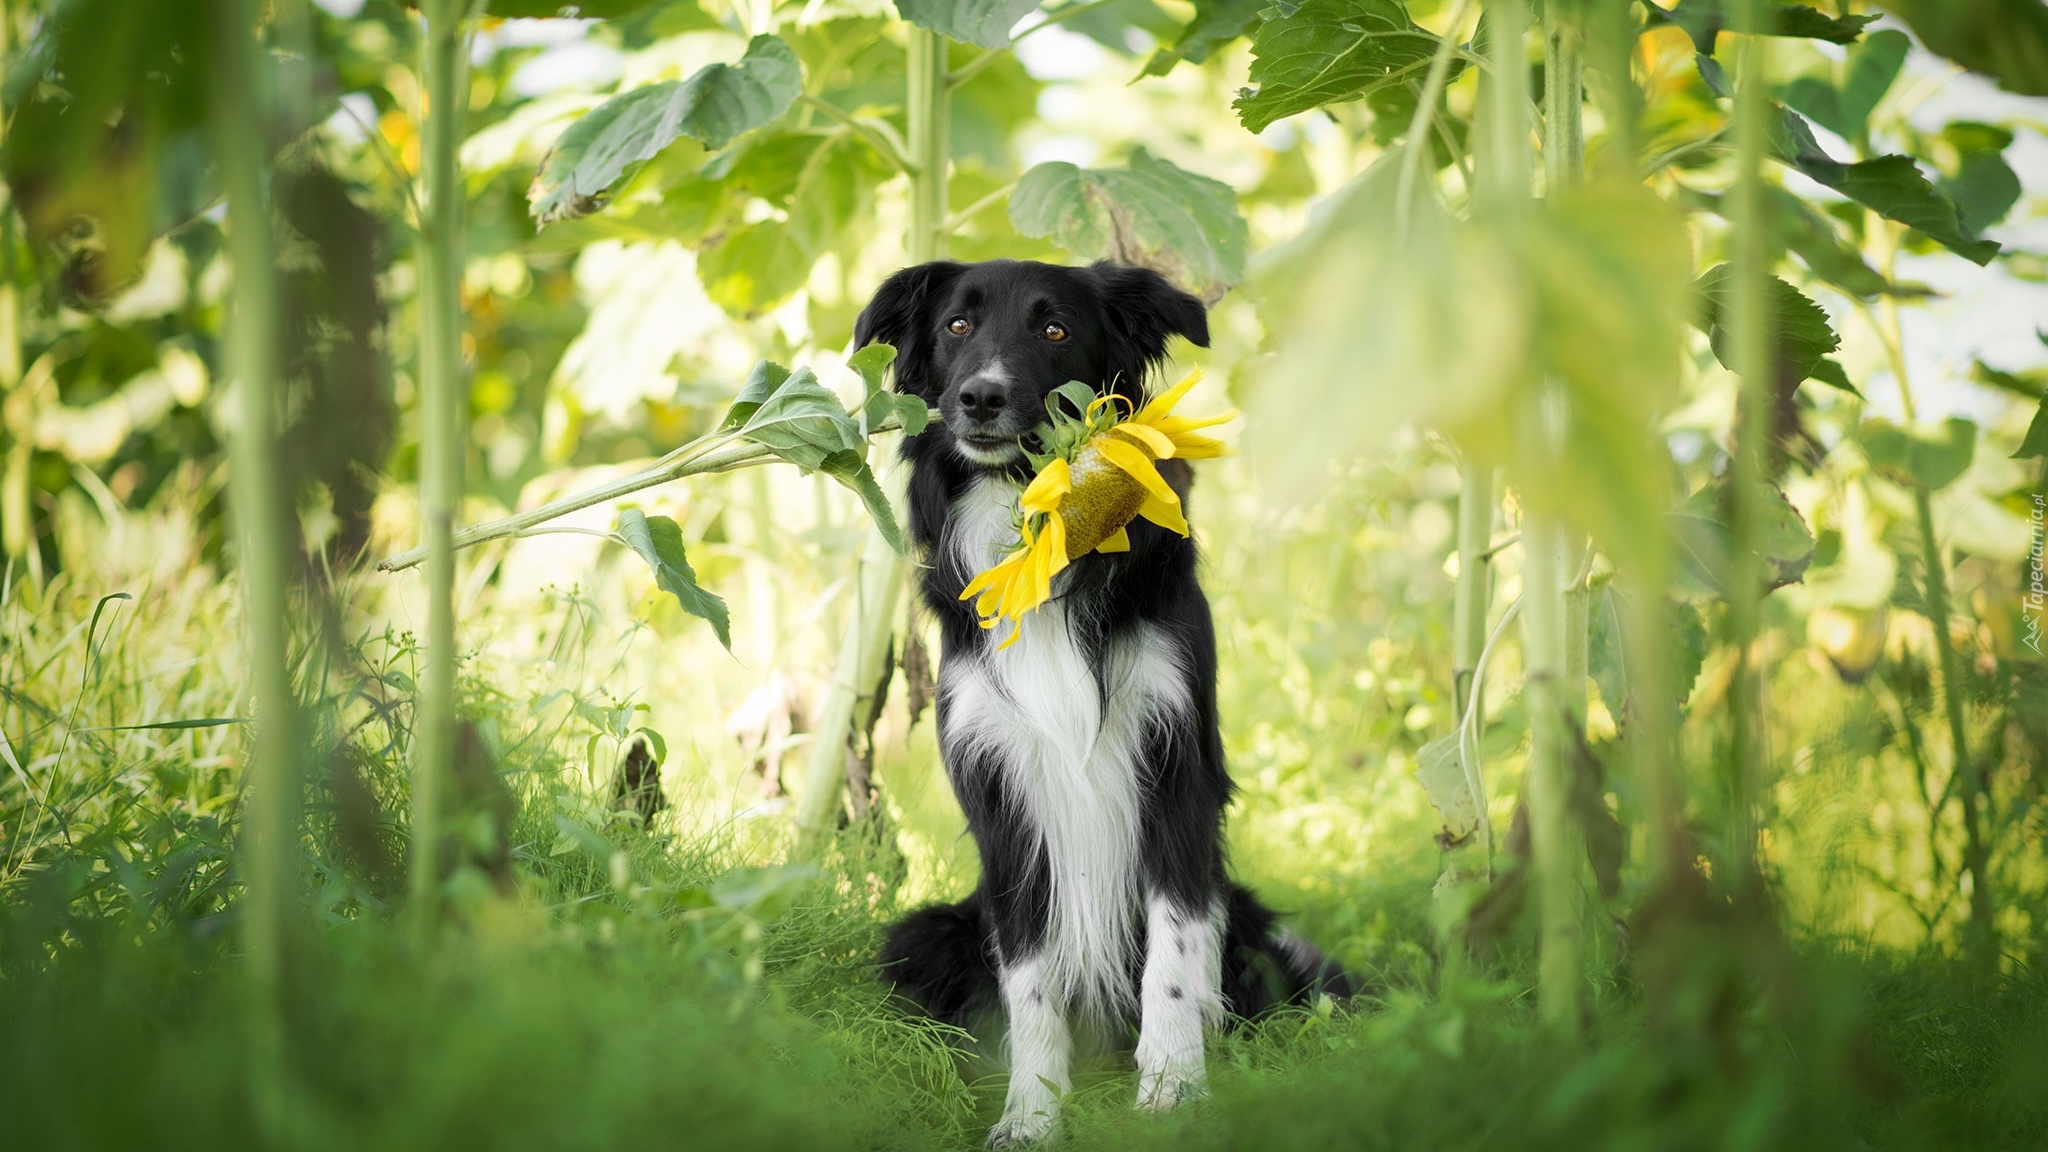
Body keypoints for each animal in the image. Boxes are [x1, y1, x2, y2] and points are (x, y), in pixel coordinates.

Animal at [856, 260, 1351, 1139]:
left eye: (1055, 329)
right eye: (956, 326)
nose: (979, 397)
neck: (1038, 535)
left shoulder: (1177, 765)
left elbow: (1175, 949)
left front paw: (1174, 1087)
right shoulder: (1000, 793)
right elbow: (1030, 978)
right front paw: (1030, 1115)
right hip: (925, 931)